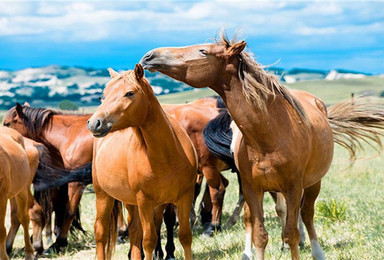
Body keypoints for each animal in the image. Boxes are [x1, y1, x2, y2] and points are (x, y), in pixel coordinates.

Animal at [87, 63, 198, 260]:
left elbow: (185, 236)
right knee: (101, 231)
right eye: (103, 95)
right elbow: (149, 241)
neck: (166, 156)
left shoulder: (185, 196)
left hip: (131, 202)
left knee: (134, 232)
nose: (94, 123)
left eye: (129, 93)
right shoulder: (145, 201)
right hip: (103, 195)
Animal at [140, 34, 384, 260]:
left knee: (307, 214)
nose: (149, 56)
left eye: (203, 51)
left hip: (313, 182)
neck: (270, 134)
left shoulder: (293, 188)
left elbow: (291, 233)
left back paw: (317, 251)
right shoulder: (252, 188)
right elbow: (260, 234)